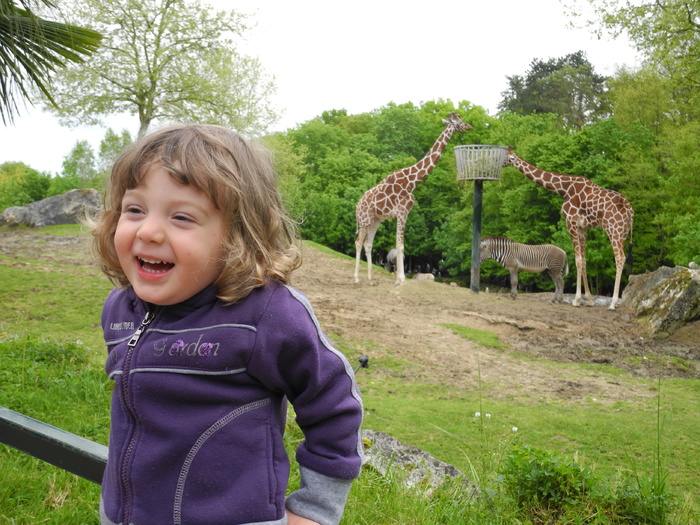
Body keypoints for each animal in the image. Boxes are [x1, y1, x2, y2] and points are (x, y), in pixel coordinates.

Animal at [354, 112, 472, 285]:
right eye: (458, 121)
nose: (470, 126)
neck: (413, 181)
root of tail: (357, 206)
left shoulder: (403, 213)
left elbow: (400, 245)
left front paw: (399, 278)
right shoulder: (402, 212)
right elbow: (400, 245)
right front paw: (401, 278)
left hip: (375, 220)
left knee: (368, 244)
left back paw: (370, 279)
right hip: (365, 219)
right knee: (358, 242)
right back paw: (356, 278)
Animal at [503, 147, 634, 310]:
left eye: (505, 156)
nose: (499, 163)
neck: (564, 189)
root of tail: (630, 211)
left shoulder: (571, 222)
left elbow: (577, 260)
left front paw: (576, 300)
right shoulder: (583, 227)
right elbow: (584, 260)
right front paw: (589, 299)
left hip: (613, 229)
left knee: (620, 257)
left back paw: (613, 303)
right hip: (623, 232)